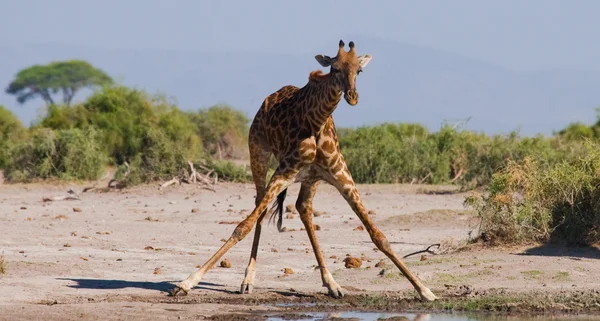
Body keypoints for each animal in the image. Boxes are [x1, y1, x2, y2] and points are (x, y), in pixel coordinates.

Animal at [171, 39, 438, 300]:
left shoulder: (342, 177)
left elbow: (379, 236)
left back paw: (331, 284)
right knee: (261, 206)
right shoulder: (284, 171)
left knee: (303, 208)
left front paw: (424, 290)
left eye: (359, 70)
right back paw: (248, 281)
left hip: (312, 178)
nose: (352, 96)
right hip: (258, 153)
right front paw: (186, 282)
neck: (317, 122)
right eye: (335, 68)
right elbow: (242, 226)